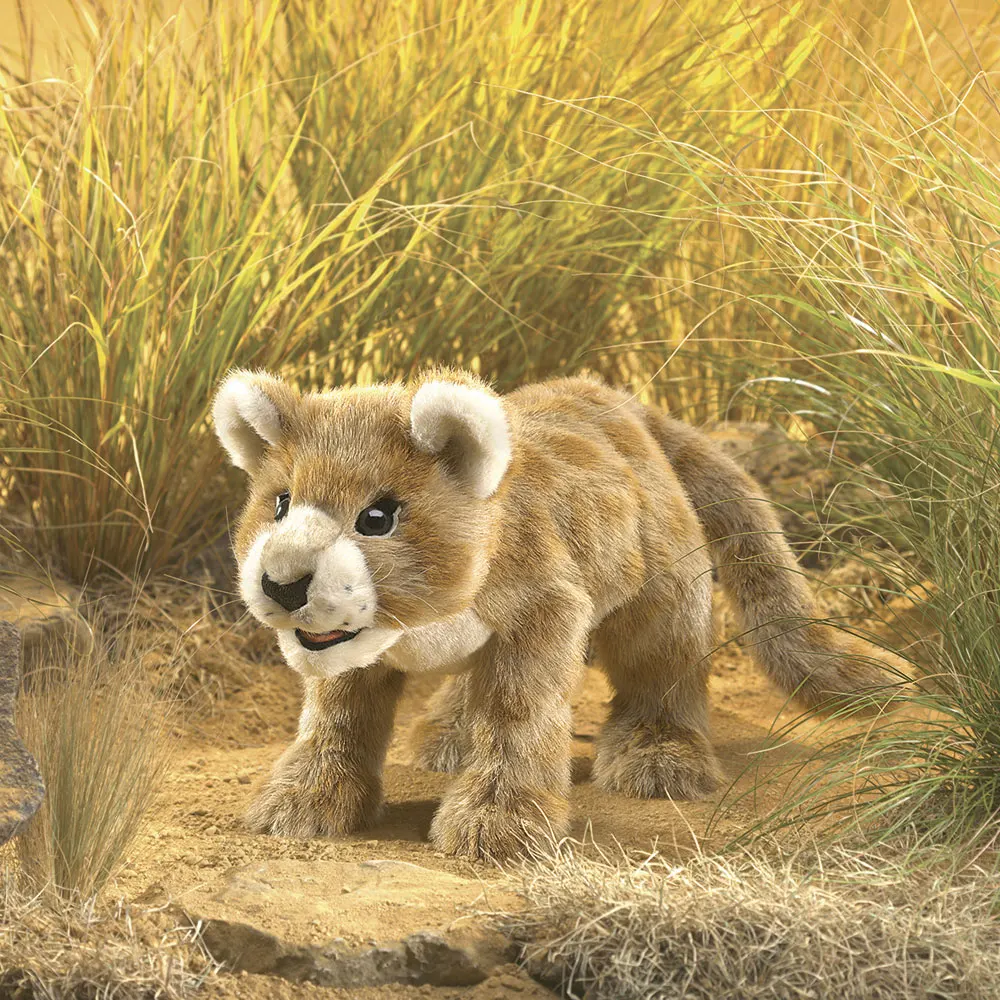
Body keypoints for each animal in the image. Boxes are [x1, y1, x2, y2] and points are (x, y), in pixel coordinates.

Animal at [212, 368, 900, 859]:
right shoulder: (351, 648)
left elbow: (519, 714)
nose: (282, 583)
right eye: (280, 503)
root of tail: (614, 395)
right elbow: (339, 721)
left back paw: (659, 759)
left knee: (663, 671)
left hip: (664, 597)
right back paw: (447, 737)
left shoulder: (543, 611)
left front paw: (499, 824)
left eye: (377, 517)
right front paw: (303, 802)